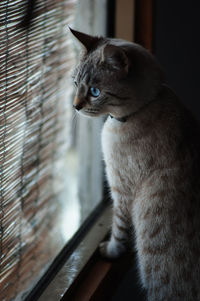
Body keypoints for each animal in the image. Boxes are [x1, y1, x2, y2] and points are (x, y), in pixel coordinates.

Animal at [70, 27, 200, 298]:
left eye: (95, 92)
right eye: (75, 84)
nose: (74, 106)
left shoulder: (121, 192)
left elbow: (119, 231)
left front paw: (109, 252)